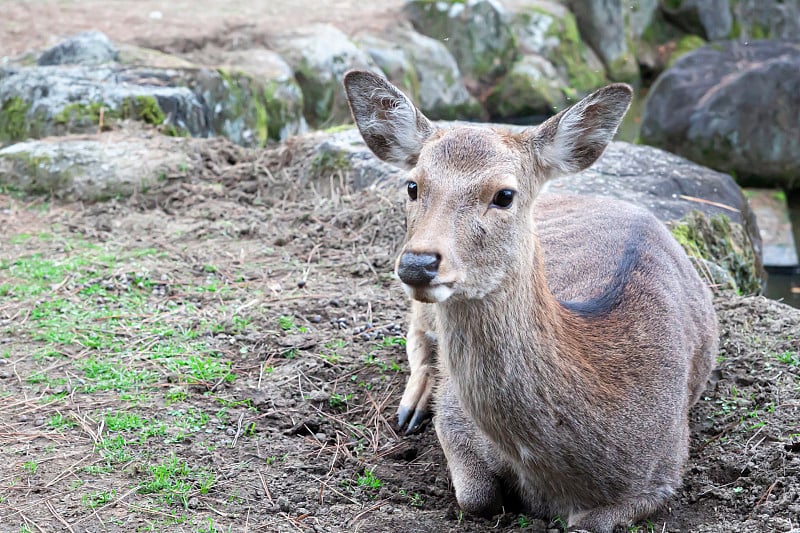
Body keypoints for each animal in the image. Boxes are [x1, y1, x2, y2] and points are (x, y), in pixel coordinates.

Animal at [344, 68, 720, 528]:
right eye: (413, 185)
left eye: (504, 194)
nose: (417, 263)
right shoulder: (453, 415)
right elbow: (477, 496)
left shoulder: (668, 467)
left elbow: (589, 523)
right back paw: (412, 407)